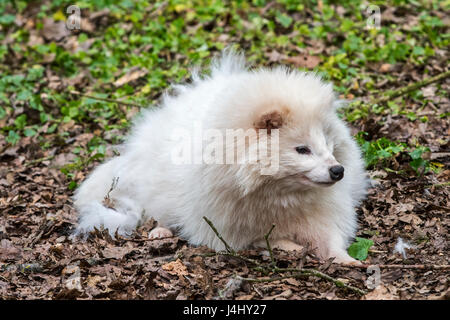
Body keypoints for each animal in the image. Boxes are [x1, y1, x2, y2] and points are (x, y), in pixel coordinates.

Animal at [74, 51, 370, 264]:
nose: (338, 171)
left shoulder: (321, 211)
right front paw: (288, 245)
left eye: (328, 143)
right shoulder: (226, 225)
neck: (276, 192)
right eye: (302, 149)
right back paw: (161, 230)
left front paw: (346, 260)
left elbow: (330, 238)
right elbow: (260, 240)